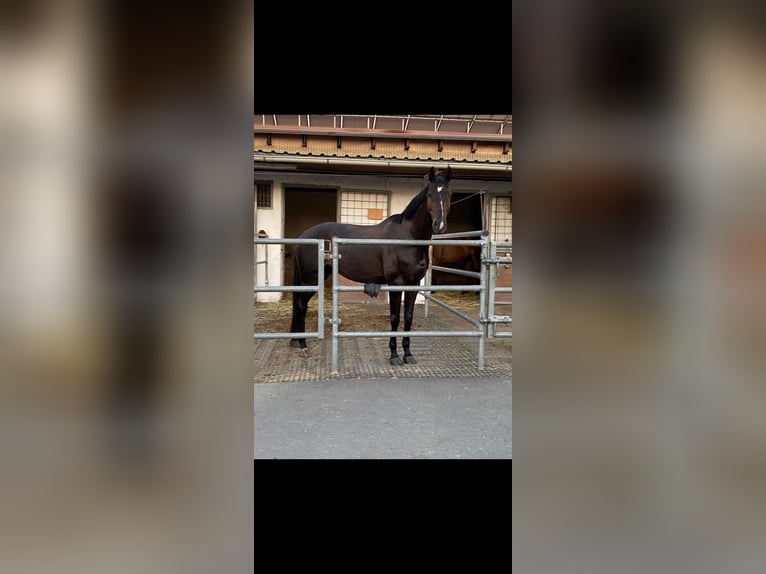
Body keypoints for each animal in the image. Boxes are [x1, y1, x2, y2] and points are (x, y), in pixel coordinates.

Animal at [289, 166, 453, 365]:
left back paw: (296, 341)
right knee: (300, 306)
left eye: (450, 195)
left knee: (299, 305)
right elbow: (395, 317)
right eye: (429, 194)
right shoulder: (395, 284)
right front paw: (394, 355)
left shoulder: (412, 285)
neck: (407, 238)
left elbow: (408, 317)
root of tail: (304, 236)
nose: (440, 225)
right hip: (310, 280)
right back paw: (303, 345)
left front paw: (408, 354)